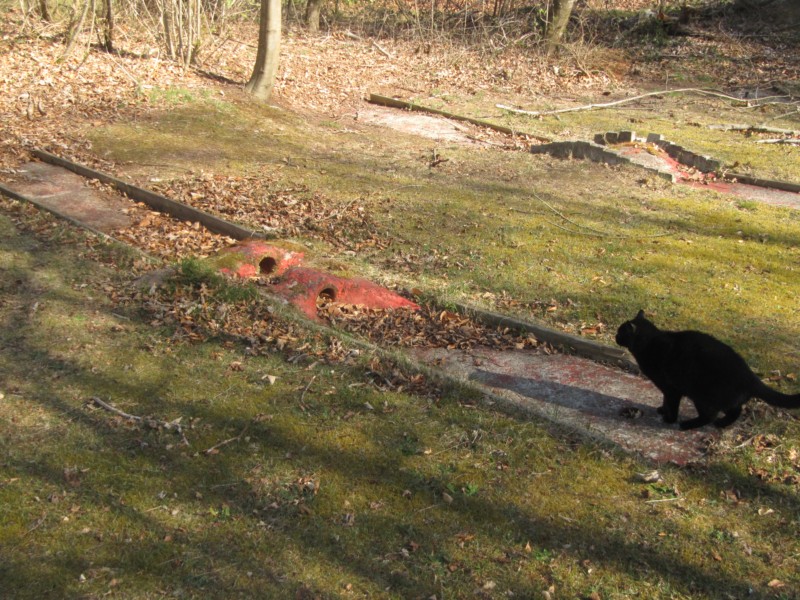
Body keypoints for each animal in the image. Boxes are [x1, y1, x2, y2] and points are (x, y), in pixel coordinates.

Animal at [616, 312, 796, 428]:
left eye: (620, 332)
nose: (615, 336)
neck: (650, 343)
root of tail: (751, 376)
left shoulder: (672, 389)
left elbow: (671, 404)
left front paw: (669, 419)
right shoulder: (668, 390)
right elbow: (665, 401)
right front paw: (662, 410)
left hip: (702, 396)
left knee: (710, 415)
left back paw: (688, 424)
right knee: (736, 410)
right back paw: (722, 424)